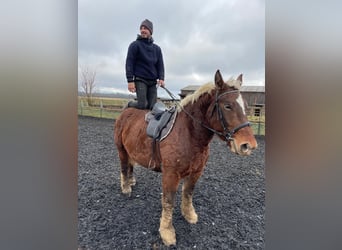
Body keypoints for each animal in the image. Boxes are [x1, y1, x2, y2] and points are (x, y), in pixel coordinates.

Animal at [114, 69, 256, 245]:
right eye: (227, 106)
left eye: (246, 107)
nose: (248, 145)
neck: (189, 134)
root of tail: (126, 112)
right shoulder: (170, 175)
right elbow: (168, 201)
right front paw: (167, 232)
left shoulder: (196, 172)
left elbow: (188, 193)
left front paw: (189, 215)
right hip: (121, 149)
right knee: (124, 166)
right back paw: (126, 187)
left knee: (130, 164)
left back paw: (131, 180)